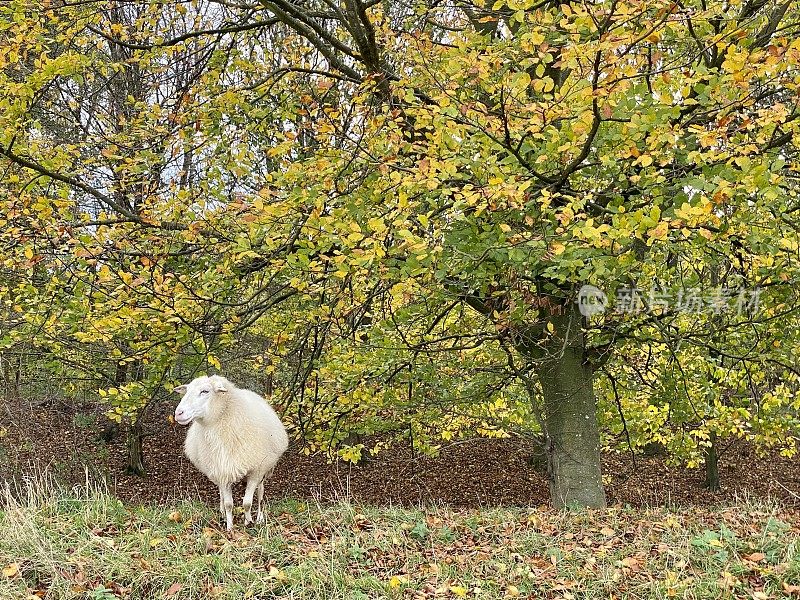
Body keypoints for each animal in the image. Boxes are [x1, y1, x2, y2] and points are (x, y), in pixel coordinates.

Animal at [173, 376, 290, 528]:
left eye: (205, 391)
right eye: (186, 391)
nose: (178, 413)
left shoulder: (256, 471)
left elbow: (247, 502)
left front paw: (248, 522)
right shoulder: (222, 470)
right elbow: (229, 503)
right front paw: (230, 527)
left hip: (263, 468)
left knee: (260, 492)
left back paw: (259, 517)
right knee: (222, 494)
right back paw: (222, 512)